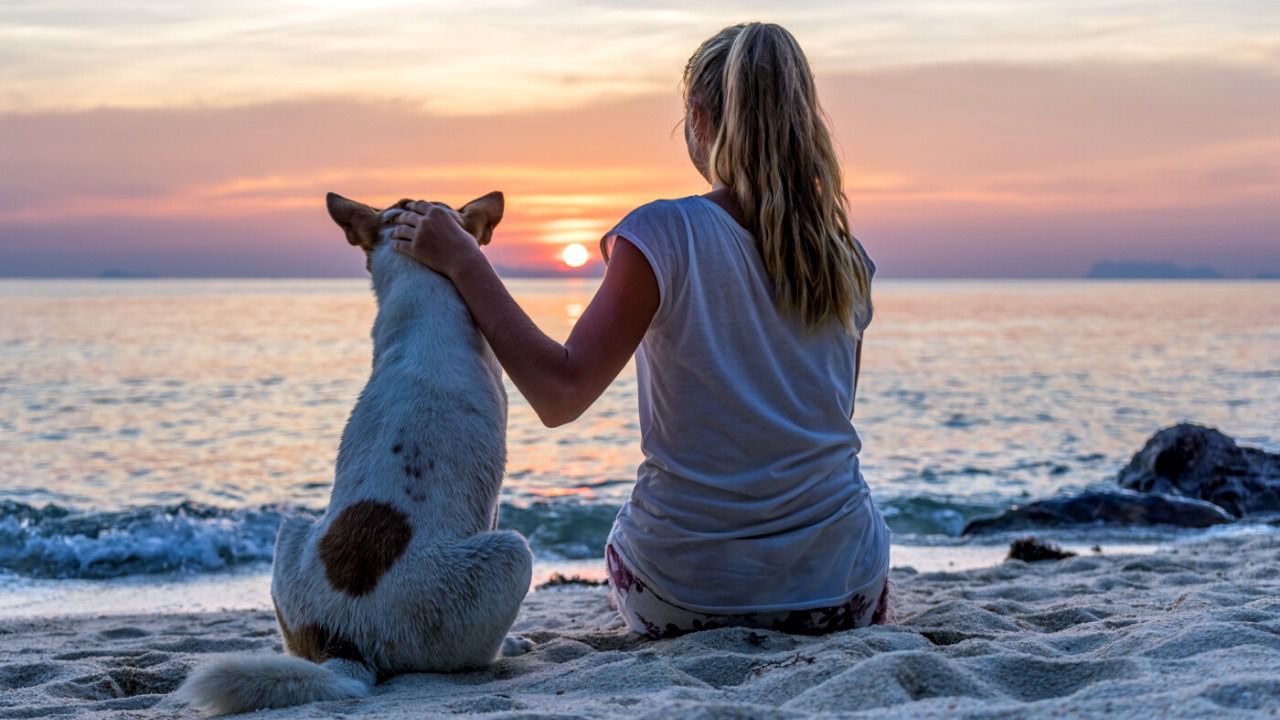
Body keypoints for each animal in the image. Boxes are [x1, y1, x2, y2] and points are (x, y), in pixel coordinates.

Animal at [179, 189, 535, 712]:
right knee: (479, 647)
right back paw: (507, 645)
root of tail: (345, 643)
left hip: (291, 531)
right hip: (509, 554)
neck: (421, 291)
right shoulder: (492, 506)